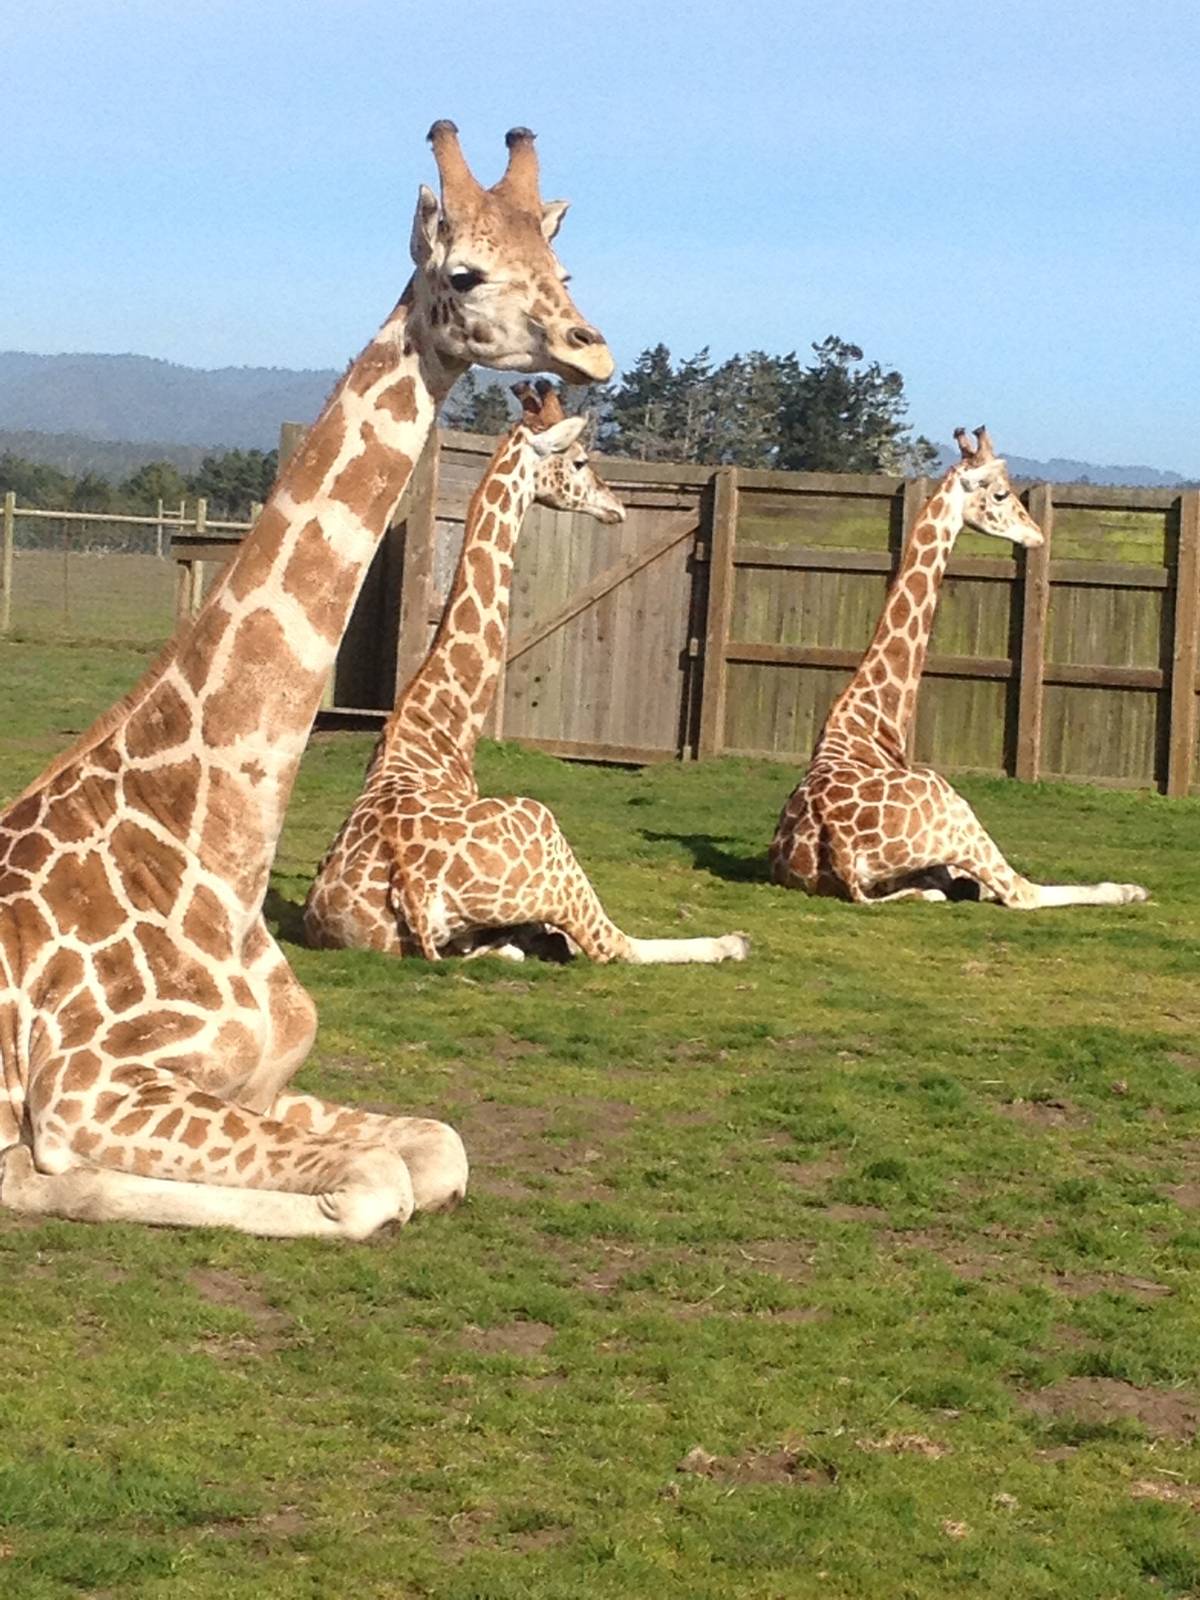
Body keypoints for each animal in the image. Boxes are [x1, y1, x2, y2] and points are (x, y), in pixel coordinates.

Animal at [0, 121, 615, 1238]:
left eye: (561, 267)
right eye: (465, 271)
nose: (591, 347)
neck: (213, 849)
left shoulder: (261, 1079)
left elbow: (436, 1146)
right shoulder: (93, 1087)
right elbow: (372, 1185)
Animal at [302, 384, 749, 966]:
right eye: (579, 460)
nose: (616, 508)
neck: (437, 734)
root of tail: (411, 887)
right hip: (548, 834)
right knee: (612, 944)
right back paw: (729, 941)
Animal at [768, 427, 1151, 909]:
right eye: (1001, 493)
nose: (1036, 535)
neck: (873, 721)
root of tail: (839, 850)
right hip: (956, 812)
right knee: (1021, 892)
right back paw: (1129, 889)